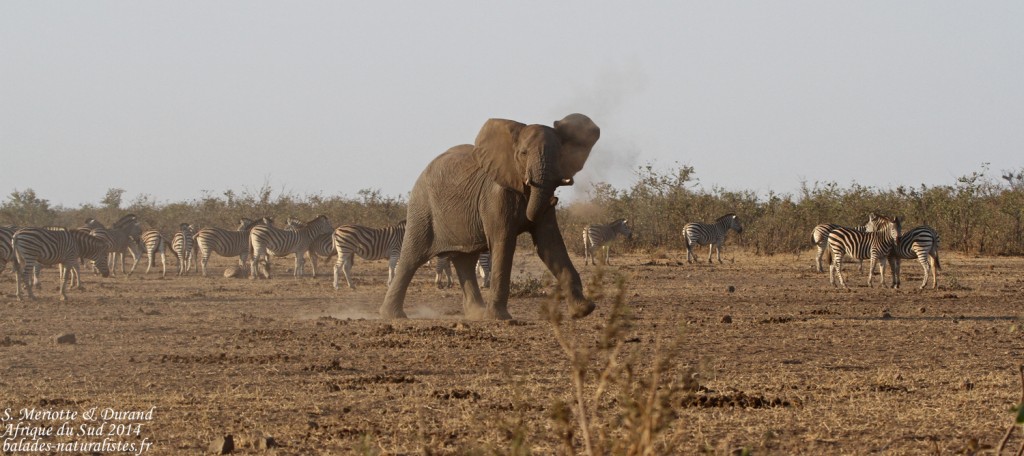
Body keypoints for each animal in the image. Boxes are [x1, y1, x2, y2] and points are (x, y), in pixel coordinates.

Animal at [380, 113, 601, 320]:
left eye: (560, 155)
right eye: (523, 153)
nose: (554, 200)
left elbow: (550, 244)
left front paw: (583, 311)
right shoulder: (496, 195)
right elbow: (503, 242)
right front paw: (499, 318)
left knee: (465, 260)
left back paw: (476, 314)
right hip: (422, 207)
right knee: (412, 257)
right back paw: (393, 315)